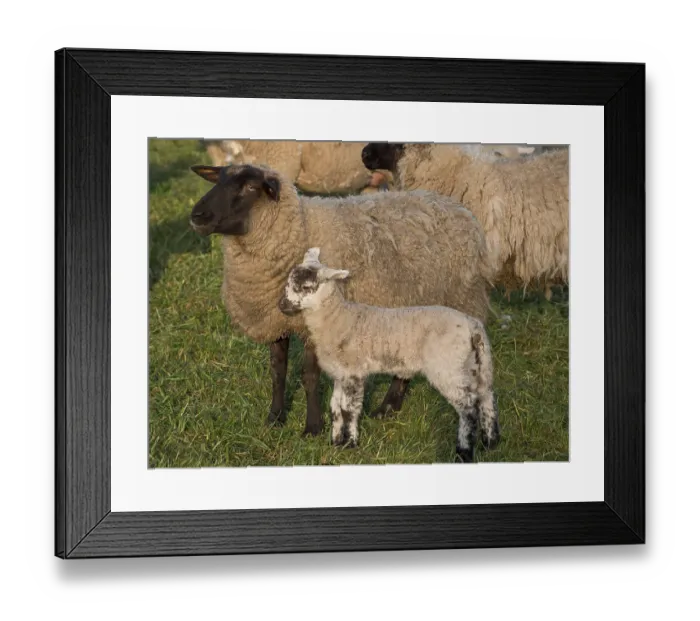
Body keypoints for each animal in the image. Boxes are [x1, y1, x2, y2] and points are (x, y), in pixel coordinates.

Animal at [188, 163, 495, 437]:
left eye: (251, 188)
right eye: (219, 180)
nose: (197, 215)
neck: (300, 228)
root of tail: (456, 206)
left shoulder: (315, 323)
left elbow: (309, 377)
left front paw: (312, 427)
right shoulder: (274, 321)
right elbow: (277, 373)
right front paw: (274, 419)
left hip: (457, 302)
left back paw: (390, 407)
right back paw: (389, 407)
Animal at [278, 247, 501, 462]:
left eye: (306, 287)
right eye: (289, 281)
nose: (282, 305)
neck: (338, 318)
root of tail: (472, 325)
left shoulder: (353, 372)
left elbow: (349, 410)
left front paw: (349, 444)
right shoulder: (340, 374)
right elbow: (335, 408)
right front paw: (335, 442)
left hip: (447, 367)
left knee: (468, 409)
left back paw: (464, 452)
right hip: (474, 364)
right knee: (486, 397)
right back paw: (490, 443)